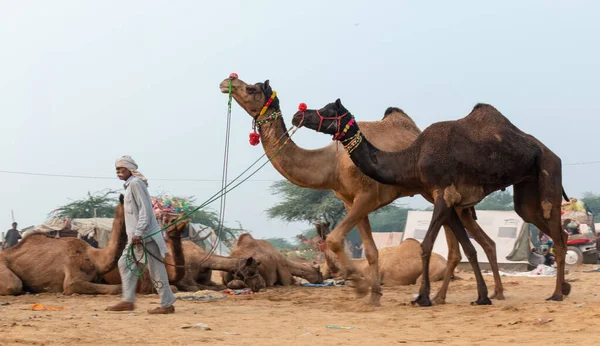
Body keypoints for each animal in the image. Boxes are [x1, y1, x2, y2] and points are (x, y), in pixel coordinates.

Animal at [296, 98, 572, 306]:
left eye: (328, 110)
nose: (299, 114)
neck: (413, 157)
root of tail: (550, 152)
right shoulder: (448, 197)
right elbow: (467, 248)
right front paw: (481, 297)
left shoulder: (444, 192)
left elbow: (426, 244)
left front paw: (423, 297)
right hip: (526, 192)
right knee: (553, 229)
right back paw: (564, 287)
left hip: (549, 170)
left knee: (557, 234)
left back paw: (557, 293)